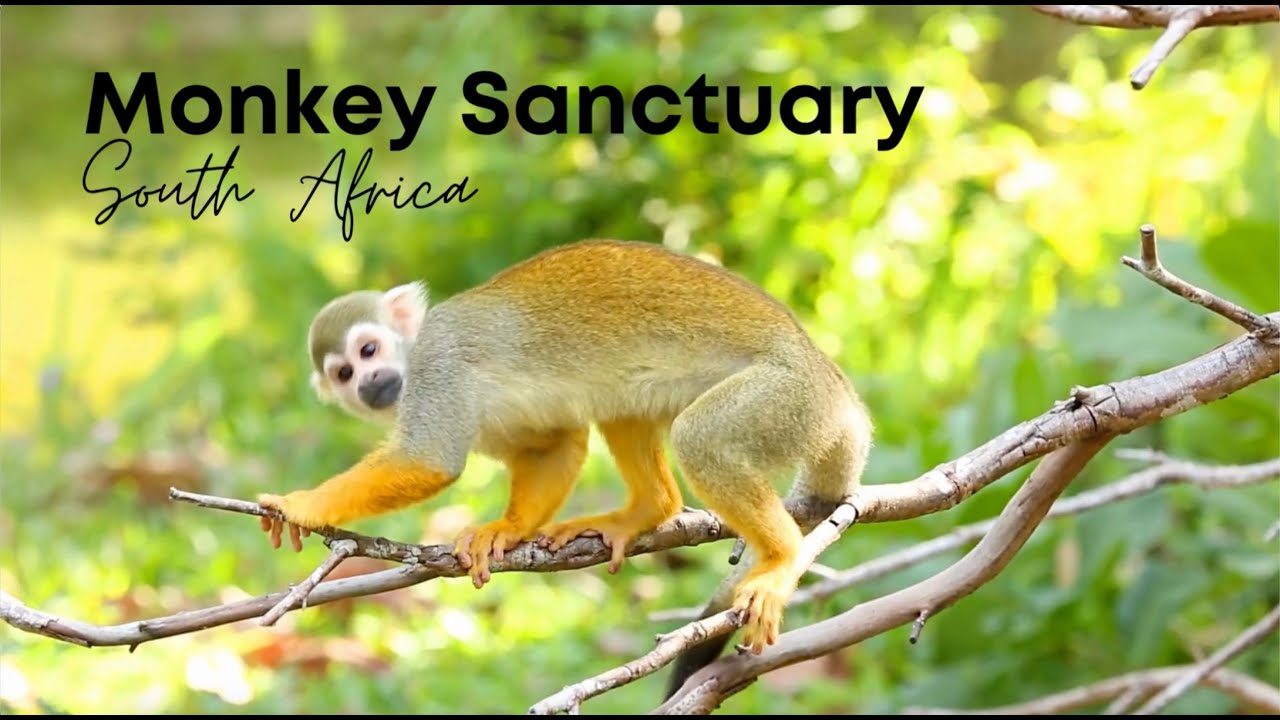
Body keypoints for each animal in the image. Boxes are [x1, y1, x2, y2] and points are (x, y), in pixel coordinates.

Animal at [257, 238, 874, 682]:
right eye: (343, 373)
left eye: (369, 351)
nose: (371, 383)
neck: (411, 358)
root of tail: (840, 394)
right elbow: (554, 444)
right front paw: (506, 531)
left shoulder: (439, 367)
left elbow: (429, 462)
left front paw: (301, 505)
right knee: (626, 405)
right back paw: (648, 510)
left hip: (787, 400)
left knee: (702, 437)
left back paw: (782, 556)